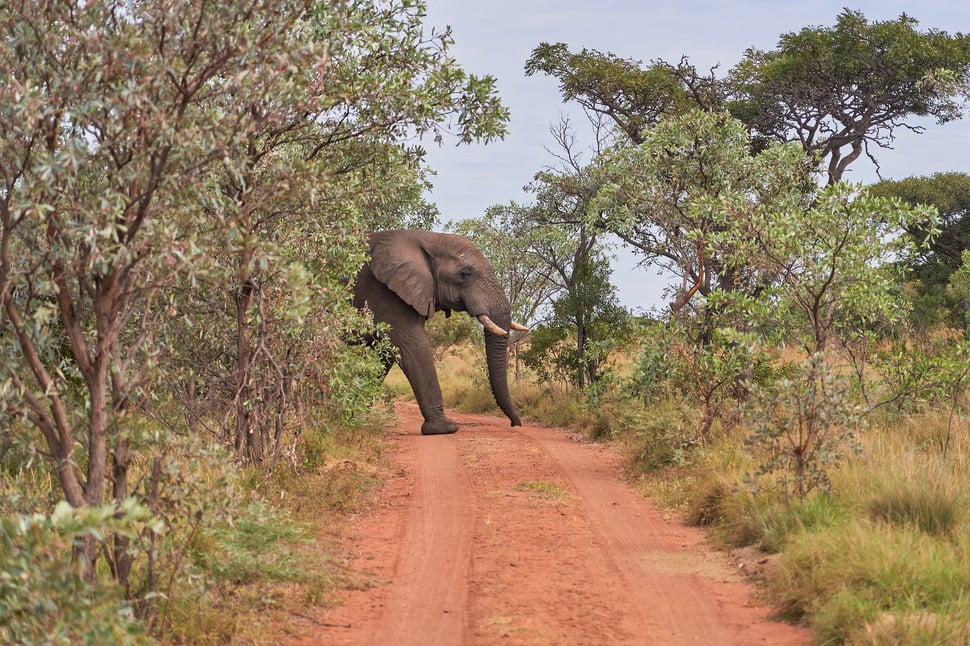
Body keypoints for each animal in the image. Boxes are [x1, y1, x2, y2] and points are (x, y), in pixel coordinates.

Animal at [353, 230, 526, 435]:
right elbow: (413, 349)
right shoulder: (386, 293)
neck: (428, 238)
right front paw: (445, 428)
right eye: (465, 274)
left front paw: (357, 417)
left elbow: (385, 354)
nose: (516, 424)